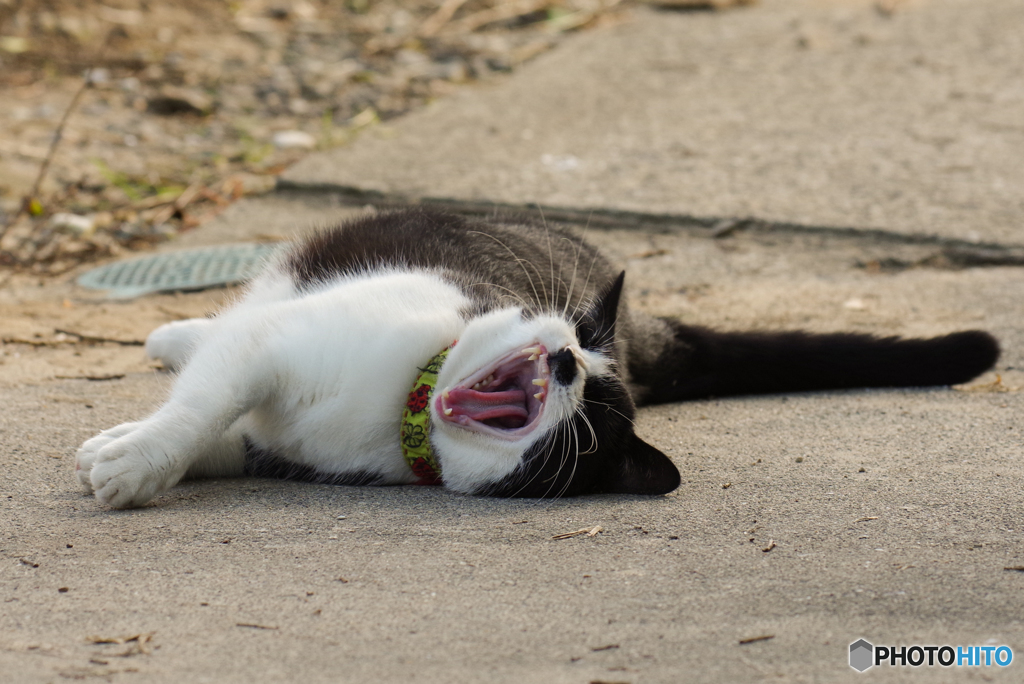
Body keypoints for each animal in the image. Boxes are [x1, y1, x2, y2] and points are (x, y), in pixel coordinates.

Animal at [74, 208, 999, 507]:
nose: (567, 363)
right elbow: (206, 404)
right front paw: (133, 452)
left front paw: (128, 461)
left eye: (585, 425)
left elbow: (213, 427)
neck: (401, 404)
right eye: (577, 347)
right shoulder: (272, 348)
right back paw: (173, 335)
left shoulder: (280, 429)